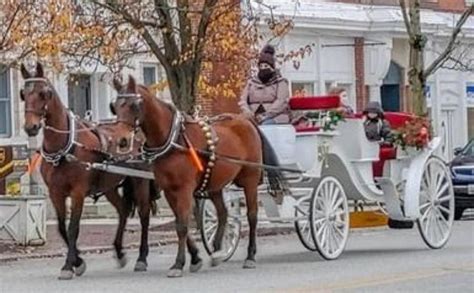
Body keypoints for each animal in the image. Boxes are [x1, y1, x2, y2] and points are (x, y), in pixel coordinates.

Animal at [20, 63, 157, 278]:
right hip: (109, 186)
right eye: (23, 94)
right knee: (123, 210)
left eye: (44, 93)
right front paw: (78, 261)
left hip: (140, 181)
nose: (31, 127)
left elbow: (73, 228)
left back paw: (142, 258)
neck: (64, 147)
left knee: (144, 214)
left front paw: (69, 266)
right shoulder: (55, 193)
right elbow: (62, 228)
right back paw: (119, 251)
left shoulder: (78, 192)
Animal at [111, 75, 286, 276]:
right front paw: (195, 257)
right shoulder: (169, 190)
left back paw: (250, 256)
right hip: (216, 184)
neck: (174, 140)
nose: (121, 140)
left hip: (250, 179)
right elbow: (181, 223)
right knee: (223, 213)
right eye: (114, 106)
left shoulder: (184, 188)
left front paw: (178, 264)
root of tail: (248, 121)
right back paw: (217, 251)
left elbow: (182, 225)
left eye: (134, 105)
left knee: (252, 215)